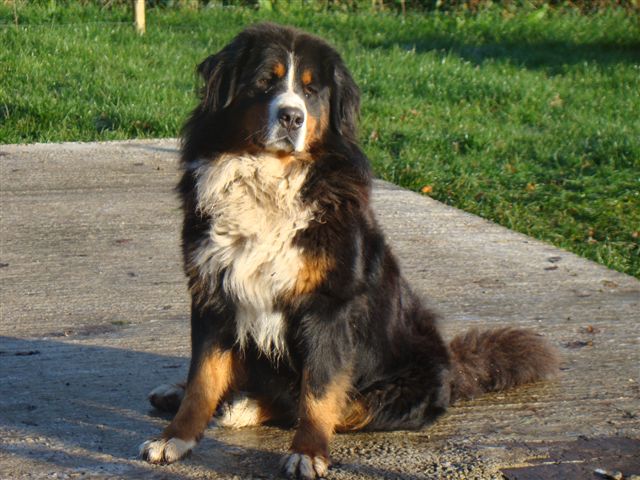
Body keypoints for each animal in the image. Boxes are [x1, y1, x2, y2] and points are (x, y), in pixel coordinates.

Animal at [139, 22, 559, 479]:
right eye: (265, 81)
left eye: (310, 91)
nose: (292, 117)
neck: (269, 180)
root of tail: (453, 365)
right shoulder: (214, 292)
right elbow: (203, 379)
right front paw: (175, 438)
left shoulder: (329, 306)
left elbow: (319, 391)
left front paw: (307, 453)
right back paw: (179, 393)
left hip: (406, 384)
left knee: (331, 405)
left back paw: (245, 407)